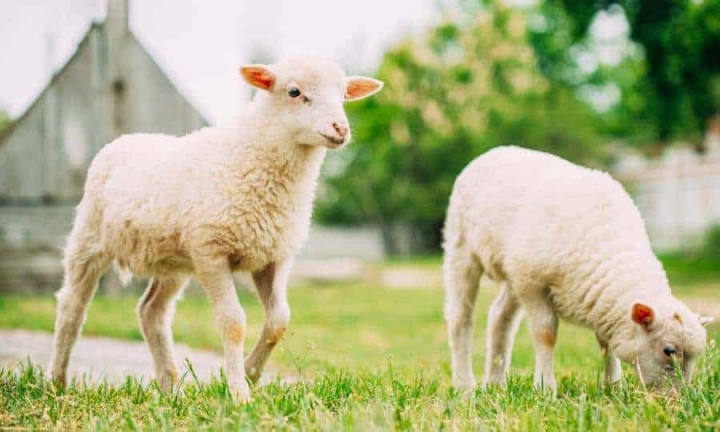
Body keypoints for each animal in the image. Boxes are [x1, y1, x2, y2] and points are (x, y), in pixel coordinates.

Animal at [47, 55, 386, 400]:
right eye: (294, 92)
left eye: (344, 95)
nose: (340, 129)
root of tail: (125, 139)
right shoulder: (210, 251)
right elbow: (233, 323)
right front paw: (238, 393)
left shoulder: (273, 257)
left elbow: (279, 320)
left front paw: (250, 373)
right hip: (89, 238)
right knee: (72, 307)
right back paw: (57, 381)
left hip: (173, 261)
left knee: (151, 312)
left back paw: (170, 388)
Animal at [442, 146, 712, 392]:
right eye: (668, 350)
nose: (675, 399)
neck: (610, 244)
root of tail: (493, 151)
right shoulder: (534, 284)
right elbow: (546, 333)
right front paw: (545, 387)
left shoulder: (601, 302)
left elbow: (606, 343)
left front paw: (612, 386)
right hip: (461, 247)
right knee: (460, 317)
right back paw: (464, 384)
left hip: (513, 272)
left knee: (499, 317)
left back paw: (495, 383)